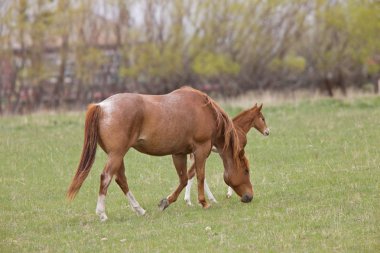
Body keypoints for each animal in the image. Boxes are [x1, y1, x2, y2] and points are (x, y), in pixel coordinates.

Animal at [67, 86, 254, 220]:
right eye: (246, 170)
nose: (249, 197)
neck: (204, 110)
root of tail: (102, 106)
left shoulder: (179, 153)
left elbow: (184, 179)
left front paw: (166, 202)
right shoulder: (201, 150)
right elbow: (200, 175)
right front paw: (204, 202)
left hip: (117, 156)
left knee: (121, 180)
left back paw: (140, 210)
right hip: (116, 155)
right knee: (106, 177)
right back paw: (102, 213)